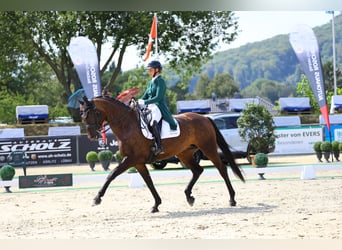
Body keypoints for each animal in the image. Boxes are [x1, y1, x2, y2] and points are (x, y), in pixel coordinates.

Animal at [79, 96, 246, 213]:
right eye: (82, 115)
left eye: (92, 113)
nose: (91, 136)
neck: (127, 125)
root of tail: (205, 117)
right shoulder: (138, 162)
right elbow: (149, 182)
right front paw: (156, 205)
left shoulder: (131, 159)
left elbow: (111, 175)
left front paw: (97, 198)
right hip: (185, 153)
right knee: (198, 170)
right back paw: (189, 196)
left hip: (208, 148)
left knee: (221, 169)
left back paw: (232, 199)